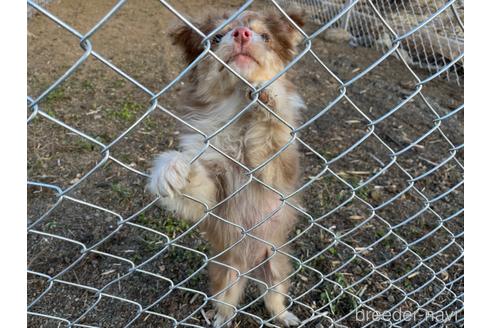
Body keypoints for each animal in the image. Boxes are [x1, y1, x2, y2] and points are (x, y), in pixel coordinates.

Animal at [148, 9, 306, 326]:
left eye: (265, 36)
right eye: (217, 37)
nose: (242, 33)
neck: (238, 116)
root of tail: (250, 265)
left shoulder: (277, 169)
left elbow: (272, 129)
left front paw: (266, 97)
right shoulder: (214, 189)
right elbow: (196, 178)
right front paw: (169, 169)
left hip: (276, 266)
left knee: (273, 299)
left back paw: (285, 317)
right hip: (226, 275)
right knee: (227, 304)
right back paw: (221, 319)